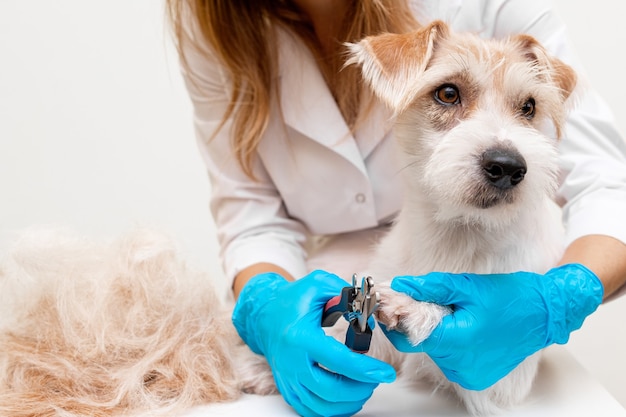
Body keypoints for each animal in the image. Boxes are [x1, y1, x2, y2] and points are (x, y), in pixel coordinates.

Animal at [0, 21, 576, 416]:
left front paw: (414, 307)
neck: (457, 235)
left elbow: (460, 334)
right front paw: (273, 357)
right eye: (448, 92)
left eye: (528, 107)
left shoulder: (499, 376)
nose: (508, 166)